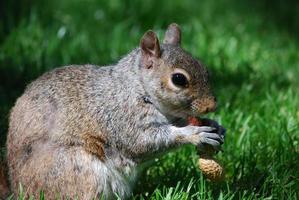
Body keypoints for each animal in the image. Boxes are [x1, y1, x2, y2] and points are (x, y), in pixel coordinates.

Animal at [1, 23, 225, 198]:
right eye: (178, 79)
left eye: (205, 68)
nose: (212, 106)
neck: (137, 87)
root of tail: (19, 189)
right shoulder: (122, 117)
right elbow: (144, 141)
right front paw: (194, 133)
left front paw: (215, 126)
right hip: (77, 172)